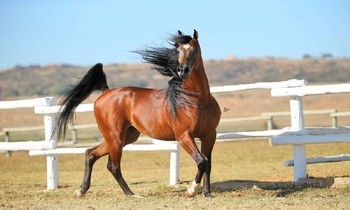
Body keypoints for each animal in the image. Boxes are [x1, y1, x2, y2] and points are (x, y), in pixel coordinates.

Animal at [57, 30, 221, 198]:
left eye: (194, 50)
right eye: (178, 50)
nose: (182, 71)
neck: (195, 100)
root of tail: (105, 92)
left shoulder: (209, 135)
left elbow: (208, 163)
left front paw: (207, 193)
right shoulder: (184, 136)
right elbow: (201, 162)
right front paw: (191, 189)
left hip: (126, 136)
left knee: (91, 154)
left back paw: (81, 190)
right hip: (115, 138)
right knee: (113, 166)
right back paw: (131, 194)